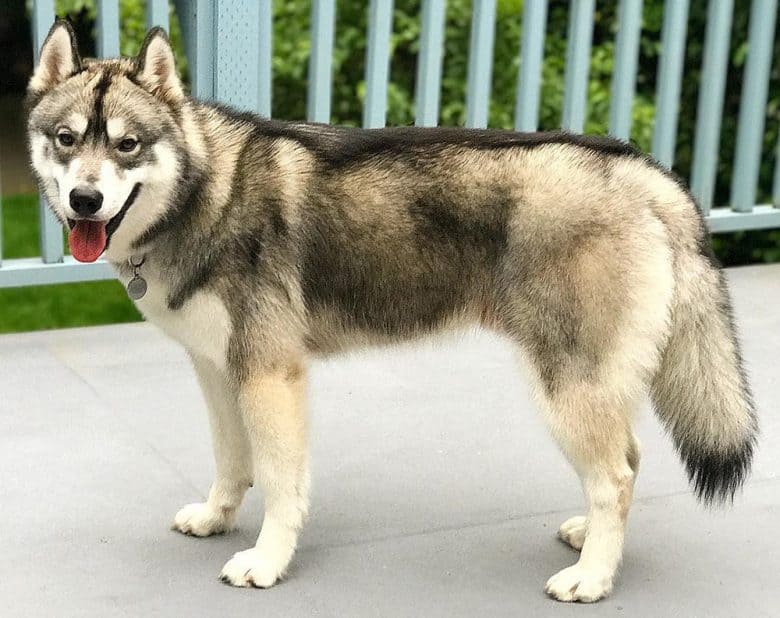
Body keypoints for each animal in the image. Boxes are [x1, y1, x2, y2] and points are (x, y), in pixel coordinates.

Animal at [29, 21, 756, 600]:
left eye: (127, 145)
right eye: (66, 139)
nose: (86, 201)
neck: (207, 191)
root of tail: (640, 168)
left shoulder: (269, 376)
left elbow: (280, 483)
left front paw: (266, 560)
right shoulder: (218, 372)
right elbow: (232, 463)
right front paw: (217, 518)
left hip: (566, 389)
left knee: (616, 476)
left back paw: (594, 579)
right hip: (593, 387)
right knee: (628, 459)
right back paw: (590, 540)